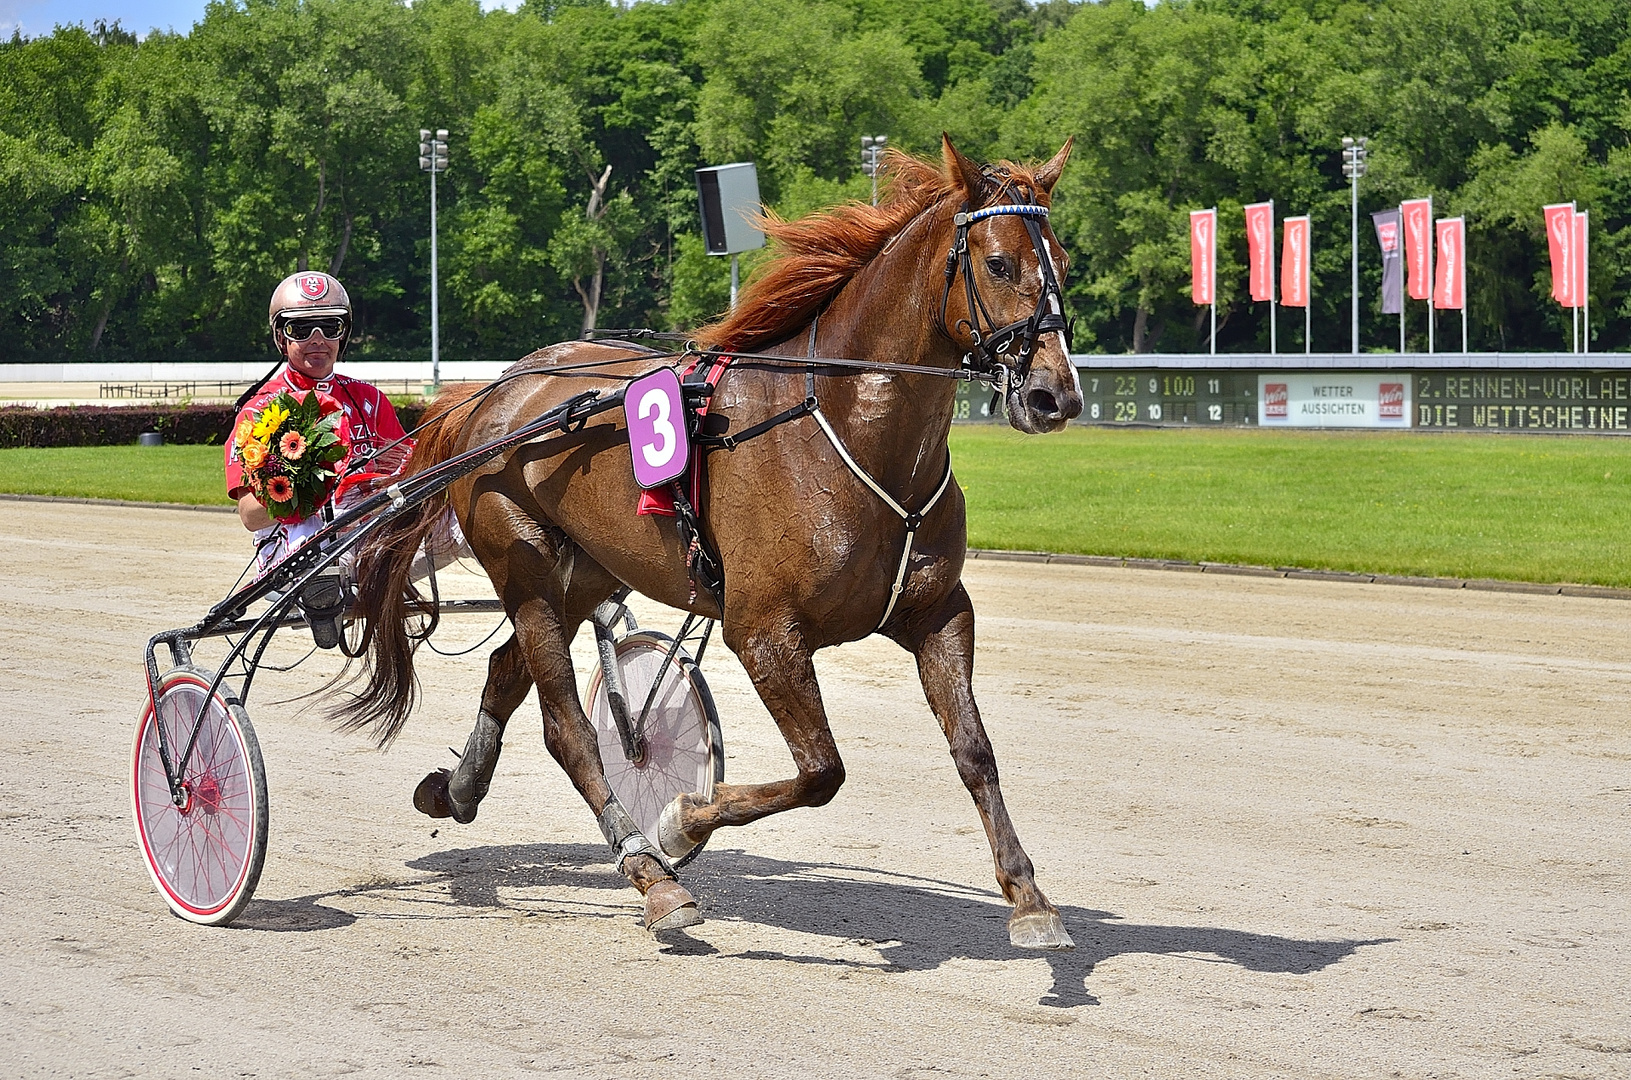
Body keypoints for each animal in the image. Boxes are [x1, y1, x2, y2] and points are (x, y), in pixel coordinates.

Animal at [340, 135, 1082, 946]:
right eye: (998, 264)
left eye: (1062, 261)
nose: (1055, 394)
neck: (851, 433)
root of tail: (492, 391)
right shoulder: (763, 633)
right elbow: (821, 771)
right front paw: (680, 822)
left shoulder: (939, 613)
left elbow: (974, 751)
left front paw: (1029, 897)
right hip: (522, 558)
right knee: (569, 728)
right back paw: (650, 874)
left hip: (591, 568)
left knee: (508, 668)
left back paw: (457, 790)